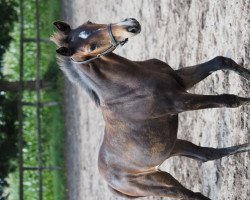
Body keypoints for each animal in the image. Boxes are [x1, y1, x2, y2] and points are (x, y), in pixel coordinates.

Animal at [50, 18, 250, 199]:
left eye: (90, 23)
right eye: (92, 47)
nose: (131, 25)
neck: (126, 87)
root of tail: (111, 184)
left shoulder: (181, 80)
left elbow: (221, 61)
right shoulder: (179, 102)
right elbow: (229, 100)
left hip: (171, 147)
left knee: (206, 155)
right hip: (157, 183)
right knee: (188, 194)